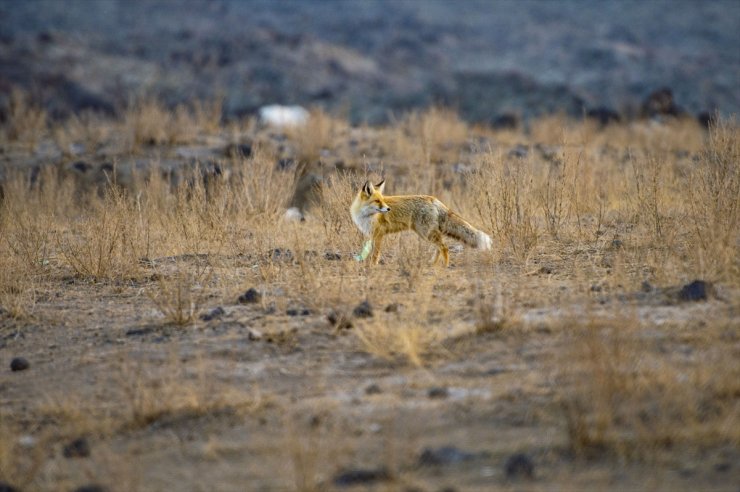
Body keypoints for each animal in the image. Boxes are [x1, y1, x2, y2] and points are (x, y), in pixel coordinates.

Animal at [352, 180, 492, 268]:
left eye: (382, 200)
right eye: (377, 201)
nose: (388, 209)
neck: (364, 215)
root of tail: (432, 198)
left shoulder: (379, 234)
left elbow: (375, 254)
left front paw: (372, 266)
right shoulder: (370, 234)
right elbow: (368, 252)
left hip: (425, 233)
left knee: (444, 247)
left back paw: (445, 266)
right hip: (426, 233)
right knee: (439, 247)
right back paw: (433, 264)